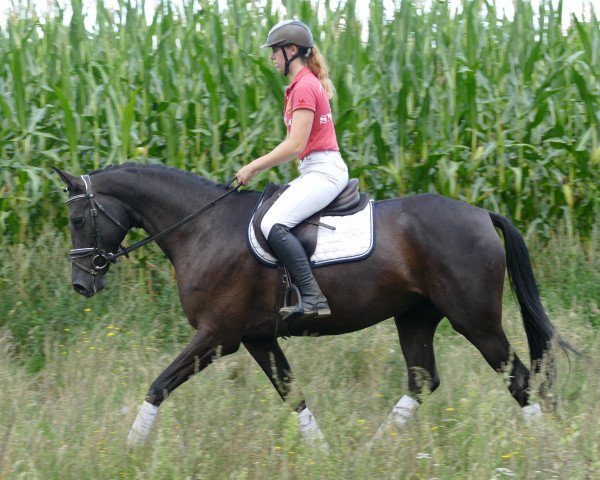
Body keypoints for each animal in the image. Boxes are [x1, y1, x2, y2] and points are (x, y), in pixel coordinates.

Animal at [54, 164, 568, 446]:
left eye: (78, 218)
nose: (80, 284)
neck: (201, 228)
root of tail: (481, 213)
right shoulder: (257, 338)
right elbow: (293, 395)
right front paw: (322, 453)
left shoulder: (218, 335)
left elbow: (158, 386)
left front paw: (128, 449)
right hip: (415, 317)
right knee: (423, 380)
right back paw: (371, 451)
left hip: (475, 320)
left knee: (519, 379)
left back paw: (543, 451)